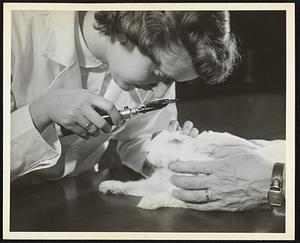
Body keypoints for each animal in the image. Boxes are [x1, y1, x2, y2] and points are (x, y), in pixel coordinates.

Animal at [98, 130, 284, 210]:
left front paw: (148, 202)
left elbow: (171, 197)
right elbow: (133, 186)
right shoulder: (153, 184)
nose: (147, 151)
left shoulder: (191, 195)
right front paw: (108, 186)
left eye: (175, 141)